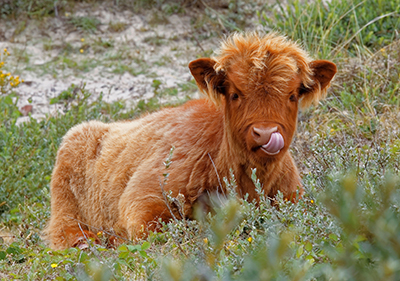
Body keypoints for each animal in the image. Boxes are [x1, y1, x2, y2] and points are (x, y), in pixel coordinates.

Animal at [43, 32, 338, 249]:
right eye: (235, 93)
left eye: (293, 94)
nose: (265, 133)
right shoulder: (142, 199)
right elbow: (160, 231)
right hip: (66, 197)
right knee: (65, 231)